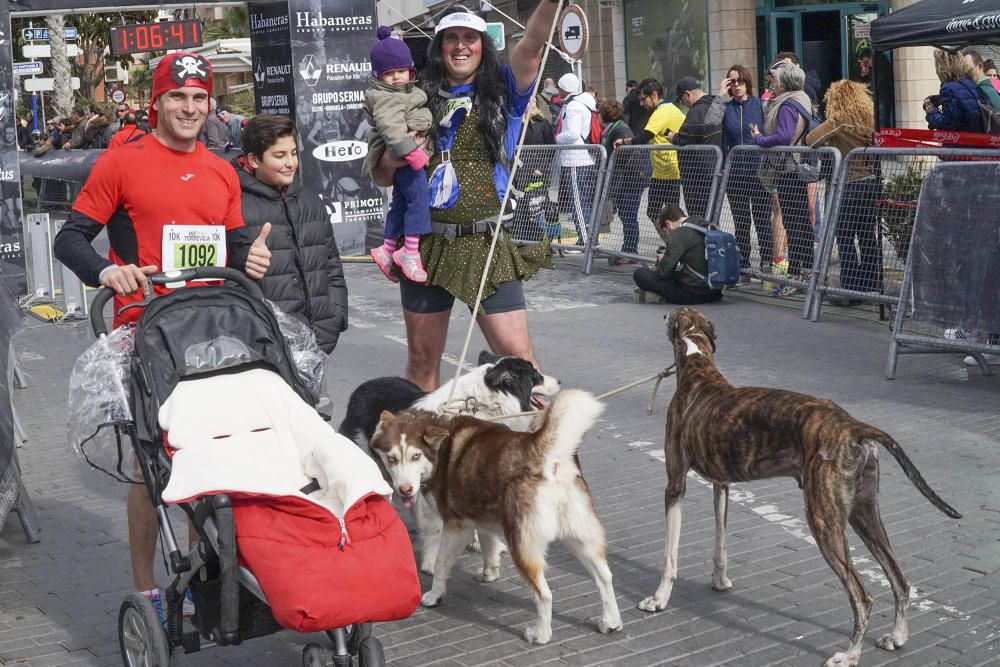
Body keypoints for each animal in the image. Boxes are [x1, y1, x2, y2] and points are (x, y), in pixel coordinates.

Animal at [378, 394, 620, 644]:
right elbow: (489, 546)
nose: (404, 490)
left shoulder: (456, 525)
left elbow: (441, 564)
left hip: (522, 546)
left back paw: (541, 633)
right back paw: (611, 621)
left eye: (415, 456)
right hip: (580, 538)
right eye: (392, 458)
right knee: (605, 577)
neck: (441, 447)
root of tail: (542, 452)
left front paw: (435, 595)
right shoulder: (482, 519)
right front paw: (490, 572)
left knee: (544, 594)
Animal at [644, 308, 964, 667]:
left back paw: (849, 654)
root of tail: (854, 426)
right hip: (863, 513)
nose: (663, 313)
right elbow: (720, 544)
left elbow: (670, 555)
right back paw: (897, 636)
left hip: (822, 520)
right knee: (900, 579)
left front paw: (658, 598)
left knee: (862, 596)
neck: (697, 366)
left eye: (672, 315)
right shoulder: (722, 485)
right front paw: (720, 582)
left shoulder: (675, 485)